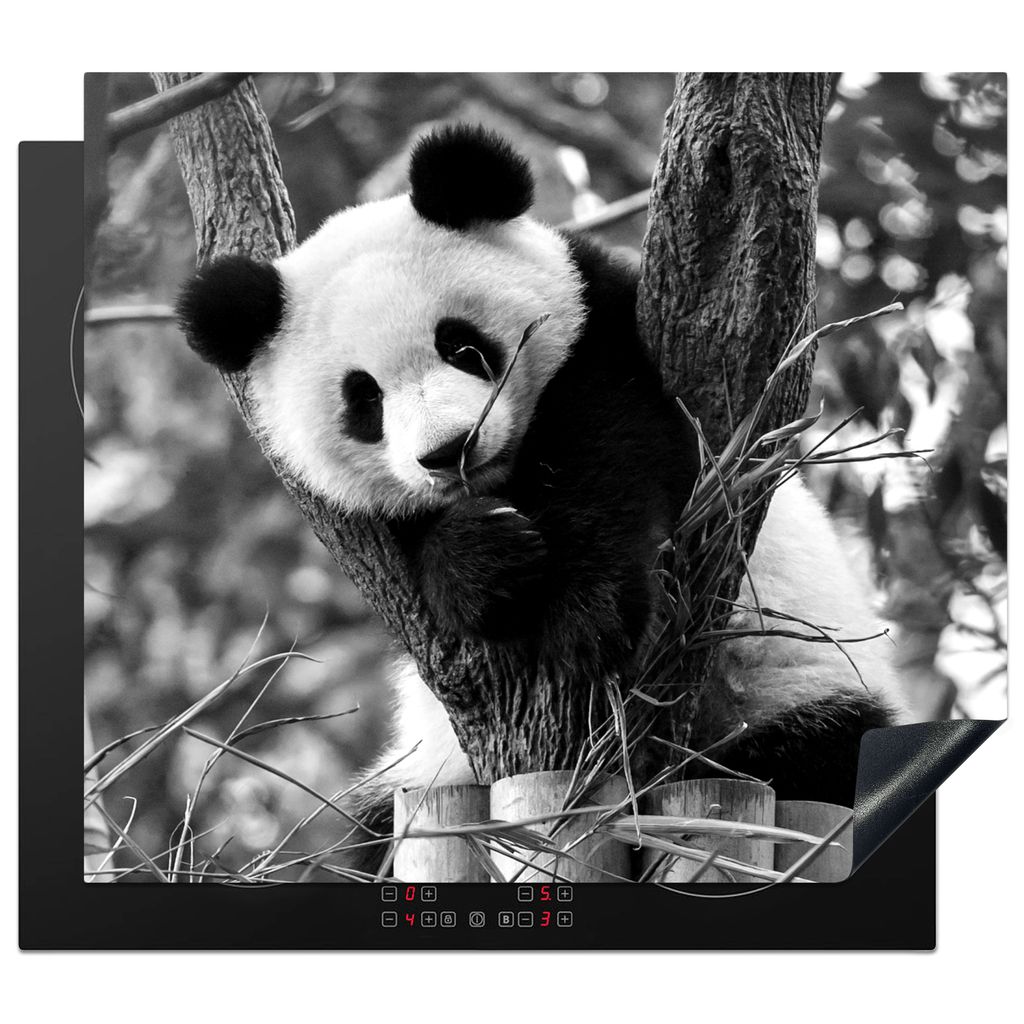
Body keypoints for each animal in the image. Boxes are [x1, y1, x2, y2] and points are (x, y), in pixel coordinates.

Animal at [177, 124, 904, 821]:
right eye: (365, 400)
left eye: (462, 346)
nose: (451, 450)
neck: (508, 473)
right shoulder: (366, 525)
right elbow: (411, 559)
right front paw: (485, 560)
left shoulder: (605, 331)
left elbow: (618, 448)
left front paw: (588, 616)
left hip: (793, 688)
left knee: (817, 754)